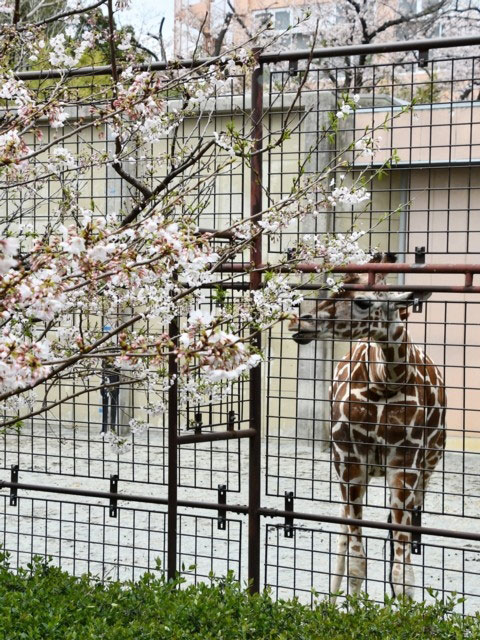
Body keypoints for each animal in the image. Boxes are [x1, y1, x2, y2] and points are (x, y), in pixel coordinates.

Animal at [288, 254, 446, 600]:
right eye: (333, 289)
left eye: (362, 301)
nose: (300, 324)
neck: (385, 381)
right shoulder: (349, 460)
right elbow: (357, 562)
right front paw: (346, 607)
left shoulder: (405, 464)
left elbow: (403, 574)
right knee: (343, 532)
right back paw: (331, 599)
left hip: (427, 468)